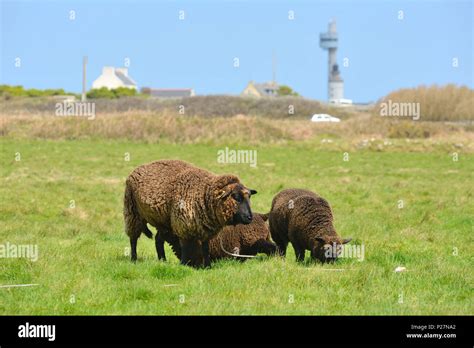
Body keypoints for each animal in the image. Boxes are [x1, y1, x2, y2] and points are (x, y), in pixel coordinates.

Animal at [122, 159, 256, 268]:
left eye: (249, 197)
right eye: (236, 197)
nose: (250, 218)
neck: (203, 193)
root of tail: (137, 169)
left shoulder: (205, 229)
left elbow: (205, 248)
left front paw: (208, 266)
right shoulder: (182, 226)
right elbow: (185, 247)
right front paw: (183, 265)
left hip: (164, 222)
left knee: (158, 239)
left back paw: (163, 261)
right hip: (132, 212)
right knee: (133, 238)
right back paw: (134, 259)